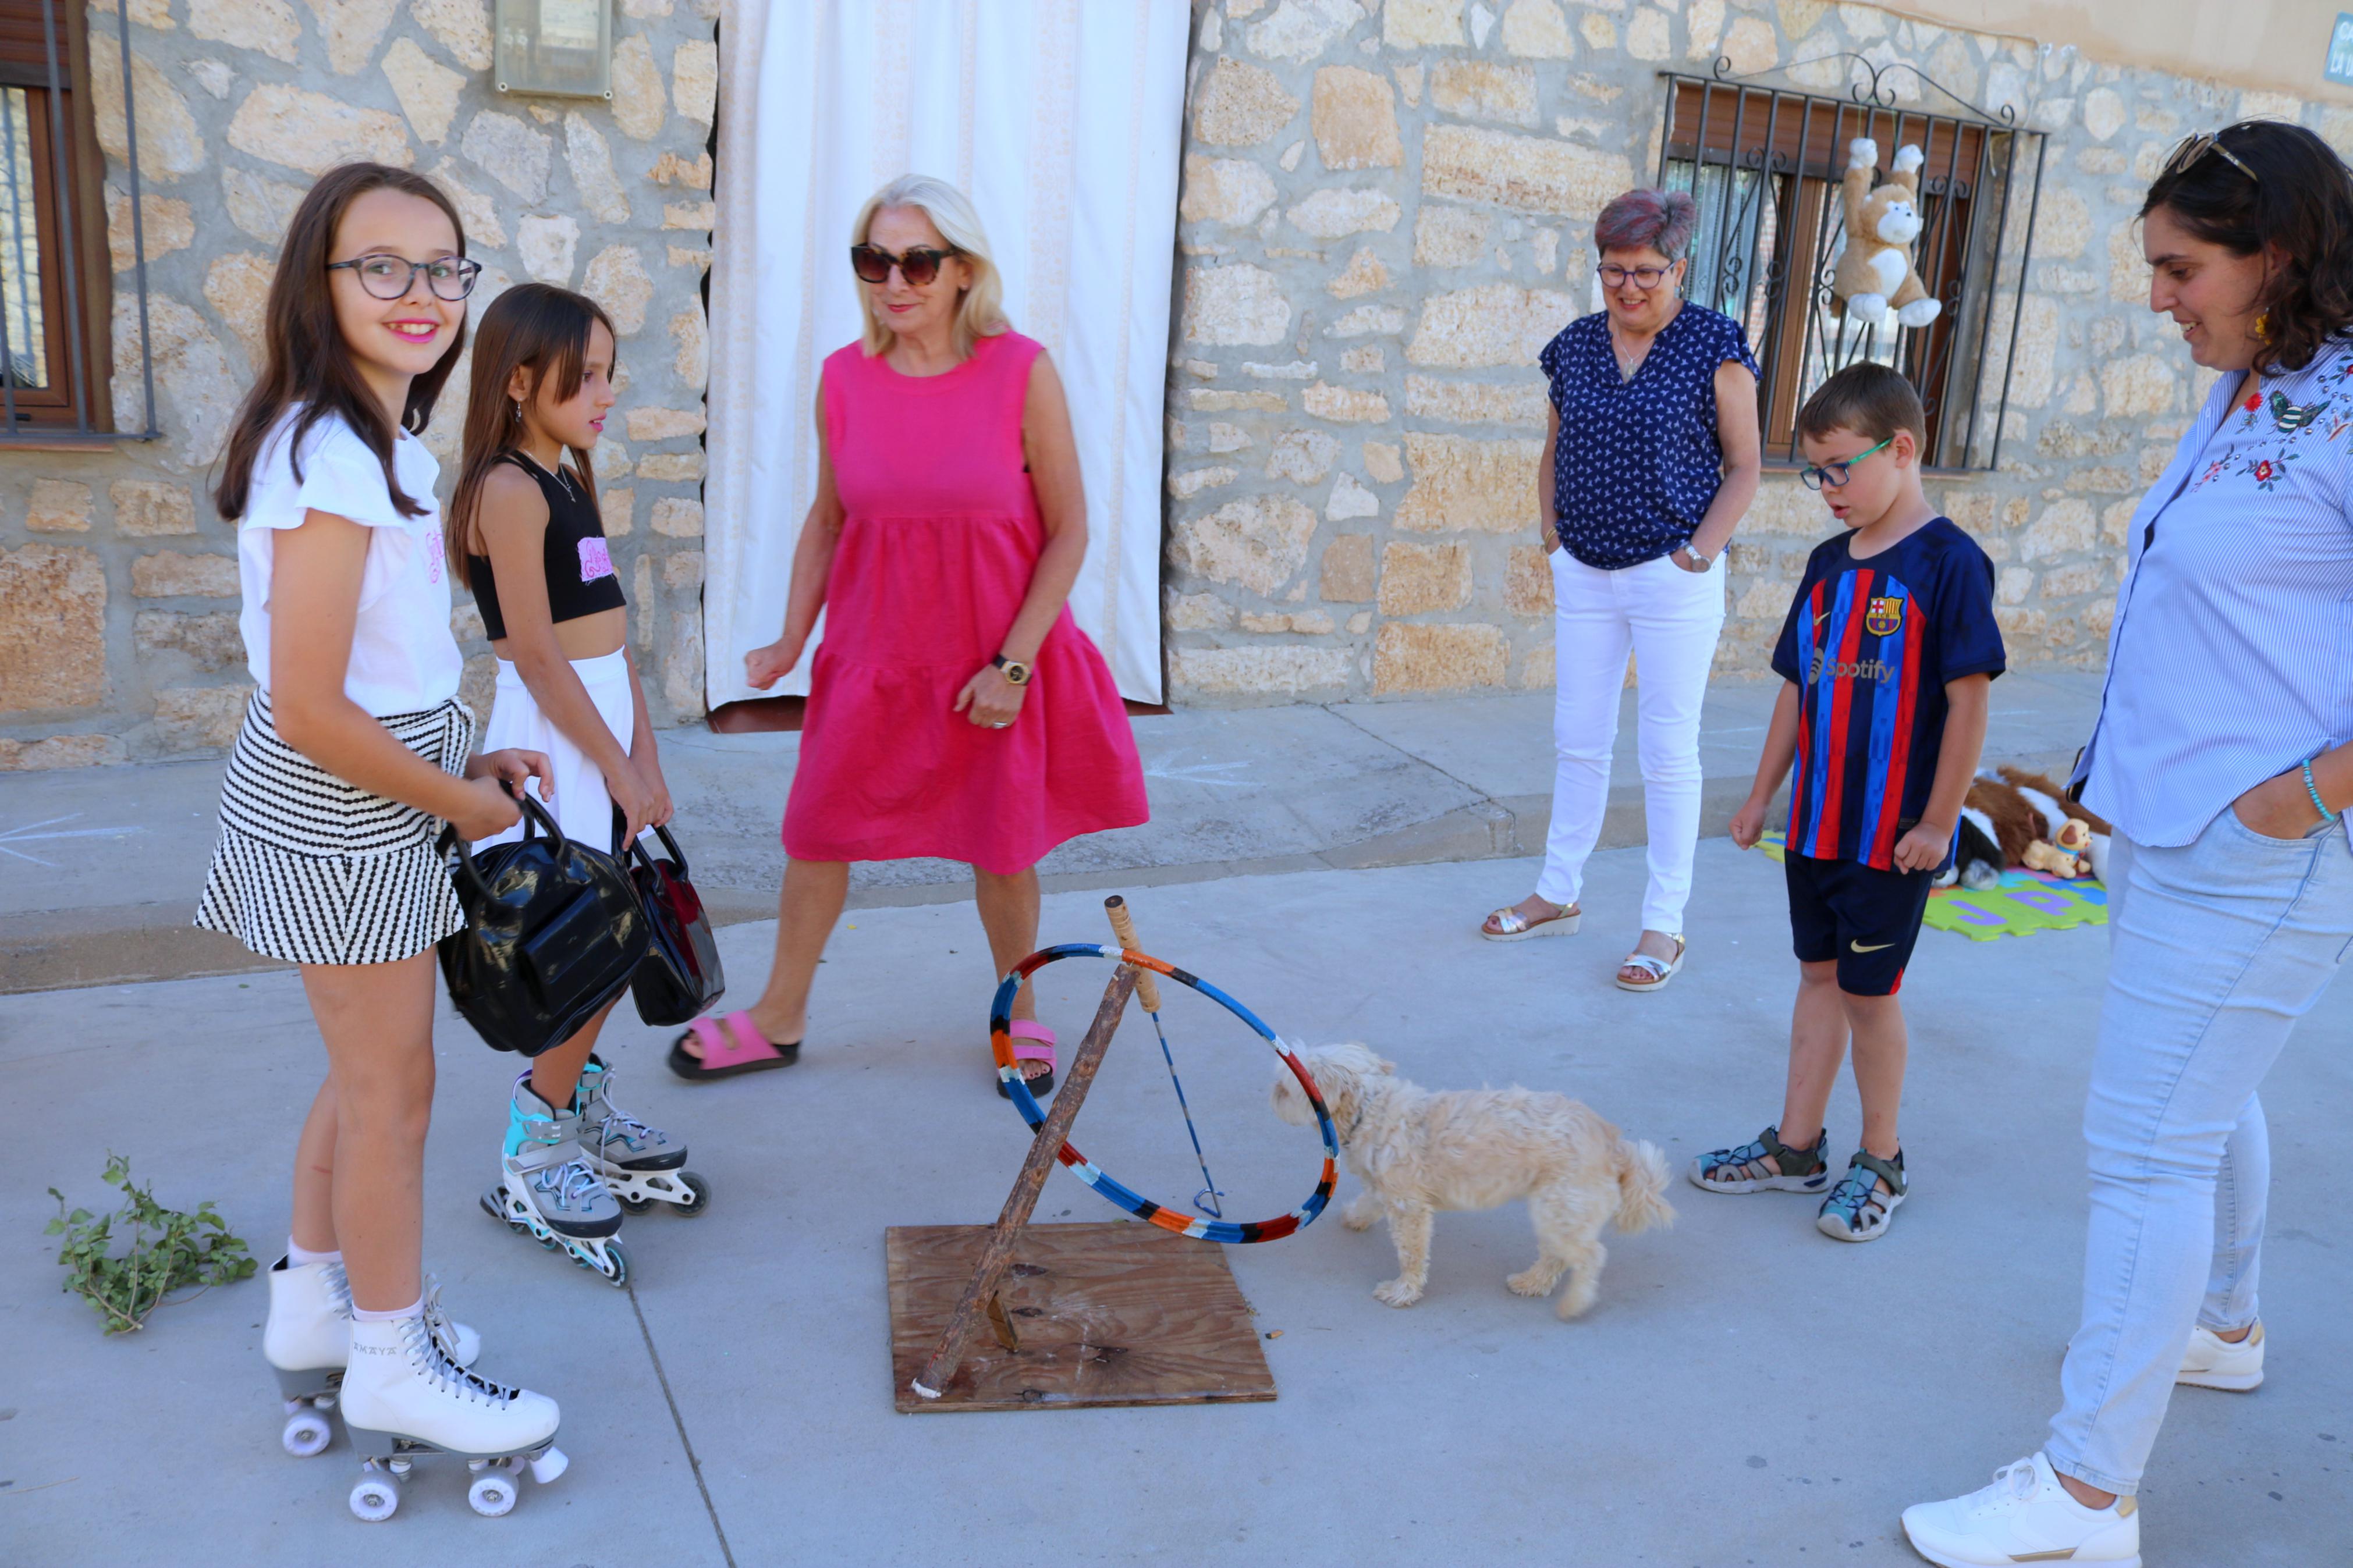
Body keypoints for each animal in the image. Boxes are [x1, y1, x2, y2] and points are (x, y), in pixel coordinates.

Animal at [1270, 1048, 1675, 1316]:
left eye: (1286, 1089)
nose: (1272, 1094)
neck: (1371, 1109)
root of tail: (1614, 1145)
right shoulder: (1388, 1188)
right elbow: (1369, 1201)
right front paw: (1355, 1217)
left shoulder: (1409, 1209)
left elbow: (1411, 1254)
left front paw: (1404, 1291)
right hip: (1556, 1211)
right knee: (1558, 1255)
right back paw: (1532, 1283)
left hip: (1560, 1208)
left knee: (1590, 1256)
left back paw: (1575, 1303)